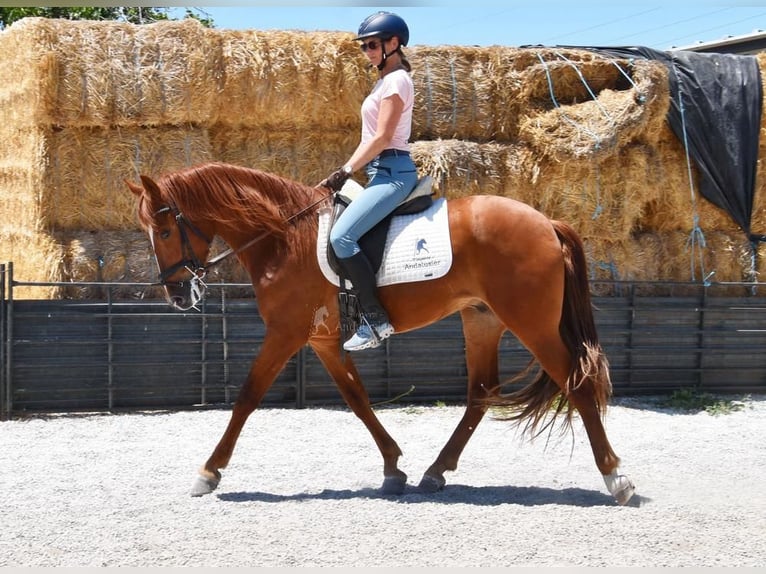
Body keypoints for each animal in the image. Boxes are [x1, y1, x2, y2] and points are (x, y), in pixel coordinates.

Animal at [125, 161, 636, 505]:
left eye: (164, 229)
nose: (177, 294)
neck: (283, 237)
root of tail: (547, 222)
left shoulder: (287, 334)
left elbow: (248, 396)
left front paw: (209, 472)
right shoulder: (323, 341)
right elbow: (358, 399)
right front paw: (393, 467)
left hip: (531, 322)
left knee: (577, 383)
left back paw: (616, 477)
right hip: (482, 318)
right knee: (481, 392)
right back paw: (435, 471)